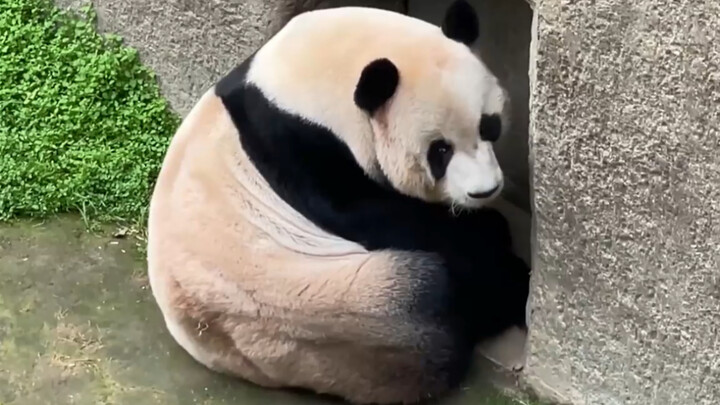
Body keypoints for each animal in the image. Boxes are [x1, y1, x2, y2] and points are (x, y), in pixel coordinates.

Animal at [146, 1, 530, 404]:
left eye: (489, 126)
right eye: (440, 151)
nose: (484, 191)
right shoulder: (299, 146)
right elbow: (370, 213)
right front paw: (489, 230)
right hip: (334, 312)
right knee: (442, 290)